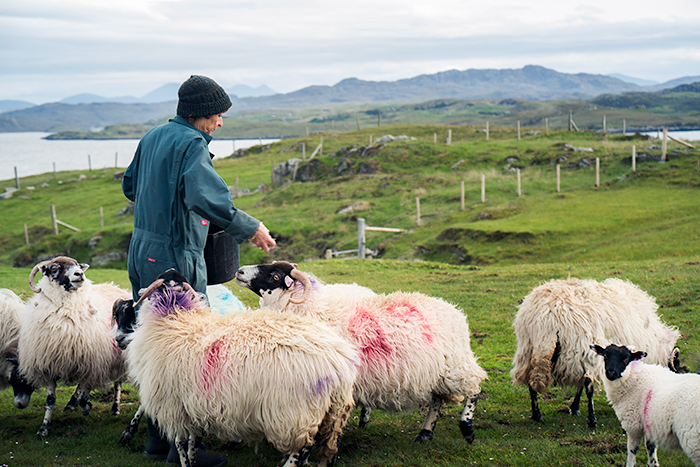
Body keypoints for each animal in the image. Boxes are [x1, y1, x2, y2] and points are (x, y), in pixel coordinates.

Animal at [17, 258, 132, 436]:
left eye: (78, 264)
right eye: (54, 268)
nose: (80, 273)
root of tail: (115, 287)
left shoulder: (93, 363)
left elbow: (85, 398)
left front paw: (87, 408)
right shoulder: (48, 365)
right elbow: (51, 399)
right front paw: (44, 428)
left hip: (118, 355)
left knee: (117, 382)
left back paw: (115, 407)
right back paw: (71, 403)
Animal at [124, 268, 360, 467]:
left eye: (160, 276)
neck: (175, 317)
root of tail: (340, 362)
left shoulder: (175, 406)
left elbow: (181, 444)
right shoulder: (195, 406)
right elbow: (193, 443)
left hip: (296, 413)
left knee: (303, 449)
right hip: (330, 414)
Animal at [235, 262, 486, 444]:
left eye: (275, 276)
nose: (239, 270)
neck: (310, 308)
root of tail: (454, 310)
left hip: (455, 366)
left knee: (475, 387)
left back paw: (467, 428)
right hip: (435, 374)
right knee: (437, 399)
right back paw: (425, 433)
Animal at [512, 280, 680, 430]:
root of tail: (546, 319)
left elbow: (579, 384)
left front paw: (574, 408)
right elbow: (585, 384)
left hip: (528, 348)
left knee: (531, 381)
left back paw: (536, 414)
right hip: (582, 348)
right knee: (589, 384)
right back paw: (591, 420)